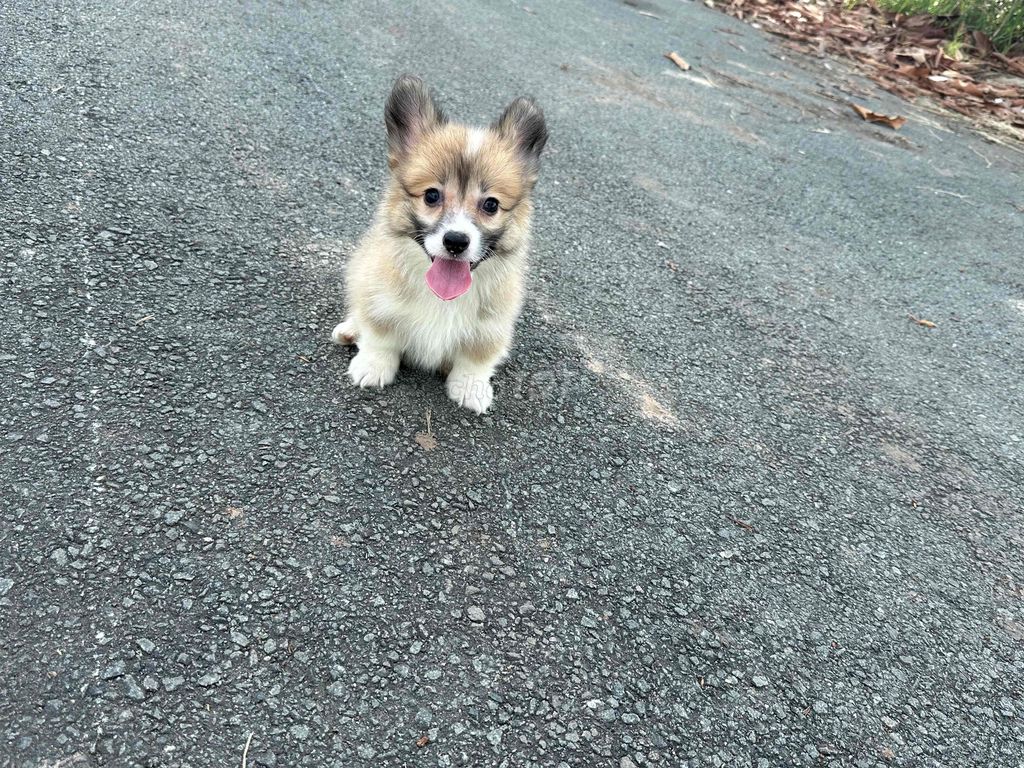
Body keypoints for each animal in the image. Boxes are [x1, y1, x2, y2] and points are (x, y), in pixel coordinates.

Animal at [331, 73, 548, 415]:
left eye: (491, 205)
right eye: (432, 195)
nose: (456, 241)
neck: (443, 298)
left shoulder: (491, 325)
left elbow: (476, 357)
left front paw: (471, 387)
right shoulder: (378, 295)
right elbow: (381, 334)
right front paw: (373, 366)